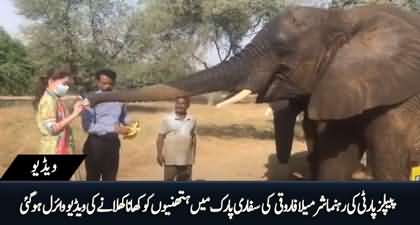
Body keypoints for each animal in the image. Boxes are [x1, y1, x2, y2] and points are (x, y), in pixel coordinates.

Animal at [85, 4, 420, 180]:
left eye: (283, 55)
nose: (89, 98)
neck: (341, 17)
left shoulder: (397, 96)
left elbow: (387, 164)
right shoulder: (341, 85)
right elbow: (335, 161)